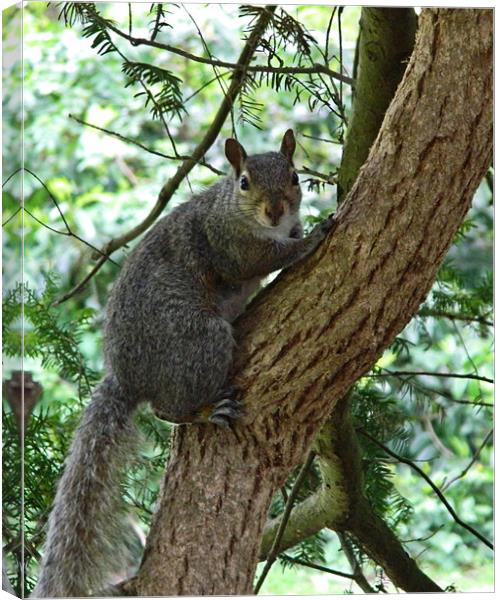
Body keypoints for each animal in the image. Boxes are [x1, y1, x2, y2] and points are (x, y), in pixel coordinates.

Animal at [33, 130, 334, 596]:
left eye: (295, 177)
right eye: (244, 182)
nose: (276, 211)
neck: (234, 211)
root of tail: (128, 377)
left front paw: (302, 227)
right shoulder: (228, 245)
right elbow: (264, 259)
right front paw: (310, 238)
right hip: (199, 338)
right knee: (166, 408)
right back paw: (205, 411)